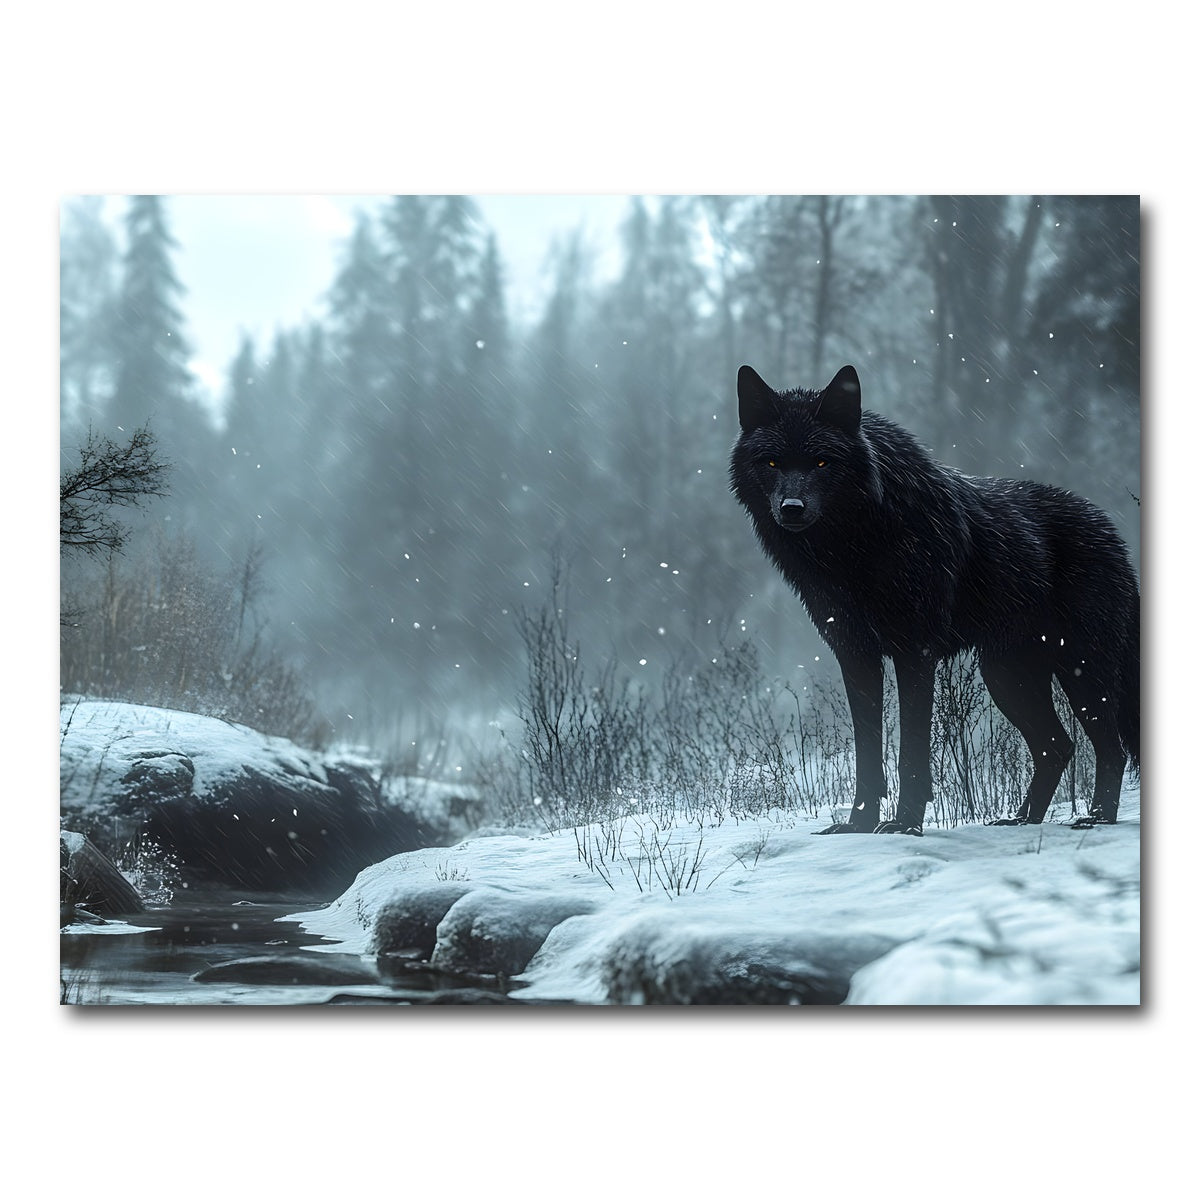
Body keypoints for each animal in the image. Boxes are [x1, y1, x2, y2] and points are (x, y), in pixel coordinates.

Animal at [730, 364, 1140, 834]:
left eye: (820, 462)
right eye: (772, 462)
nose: (791, 507)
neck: (854, 548)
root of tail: (1113, 532)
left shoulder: (915, 651)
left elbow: (910, 751)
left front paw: (904, 824)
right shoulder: (855, 654)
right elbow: (867, 754)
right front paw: (858, 825)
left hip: (1079, 671)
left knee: (1110, 749)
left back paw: (1096, 818)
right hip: (1006, 676)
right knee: (1058, 746)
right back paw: (1021, 820)